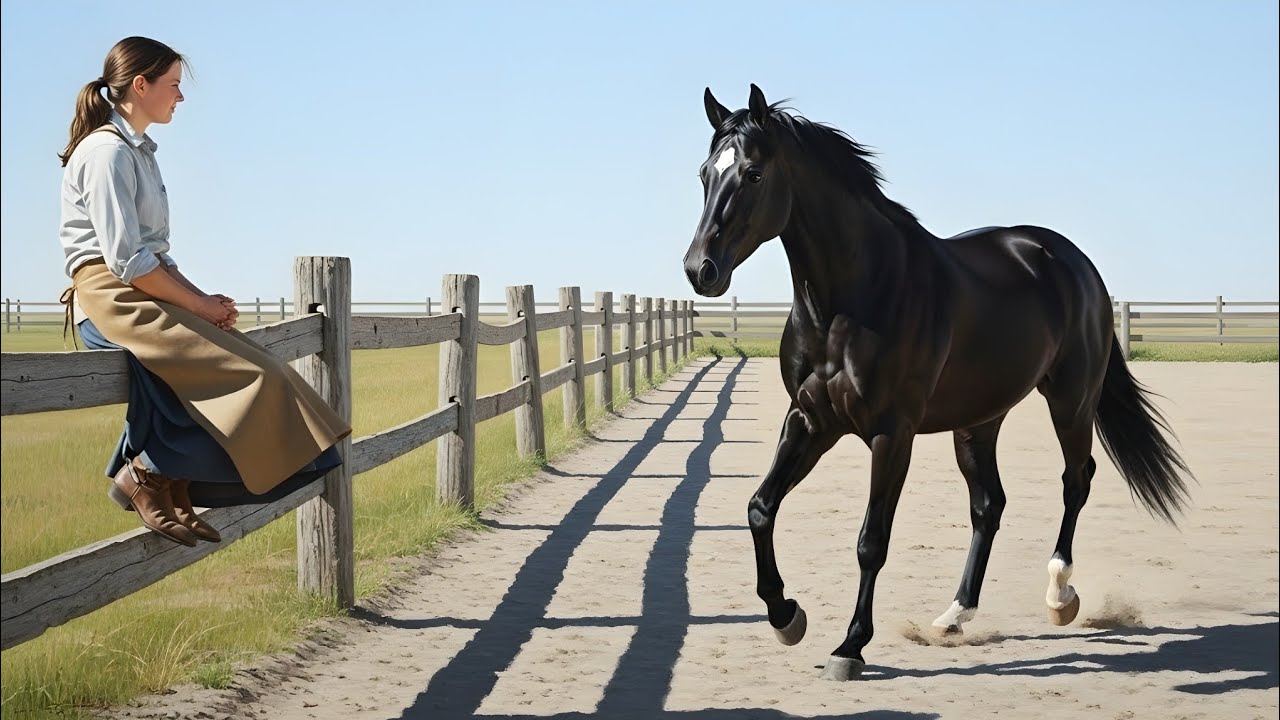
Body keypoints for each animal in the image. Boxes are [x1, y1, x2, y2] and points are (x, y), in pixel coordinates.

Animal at [681, 85, 1194, 681]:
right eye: (704, 173)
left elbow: (872, 541)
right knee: (989, 505)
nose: (701, 270)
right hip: (979, 422)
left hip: (1071, 401)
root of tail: (1072, 261)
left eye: (754, 173)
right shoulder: (809, 421)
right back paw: (954, 615)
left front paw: (850, 646)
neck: (854, 299)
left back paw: (1059, 595)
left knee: (1076, 479)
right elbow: (760, 508)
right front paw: (787, 616)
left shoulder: (891, 433)